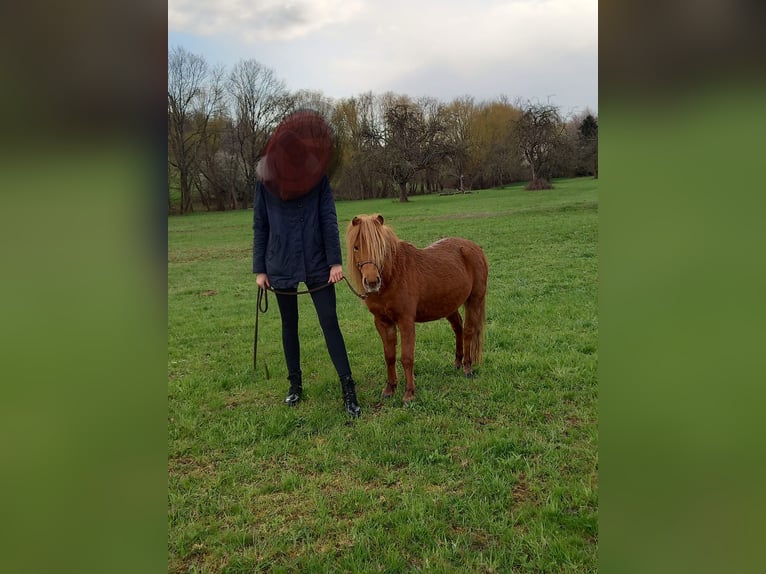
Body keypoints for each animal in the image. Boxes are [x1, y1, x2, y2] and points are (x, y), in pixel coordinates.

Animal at [344, 214, 488, 402]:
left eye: (381, 248)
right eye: (356, 247)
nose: (372, 282)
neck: (394, 275)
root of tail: (475, 248)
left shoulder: (406, 321)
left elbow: (406, 357)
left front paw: (409, 393)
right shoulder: (382, 322)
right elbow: (389, 356)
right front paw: (390, 389)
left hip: (474, 301)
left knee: (468, 331)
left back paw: (467, 368)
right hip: (449, 306)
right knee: (458, 328)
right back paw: (457, 362)